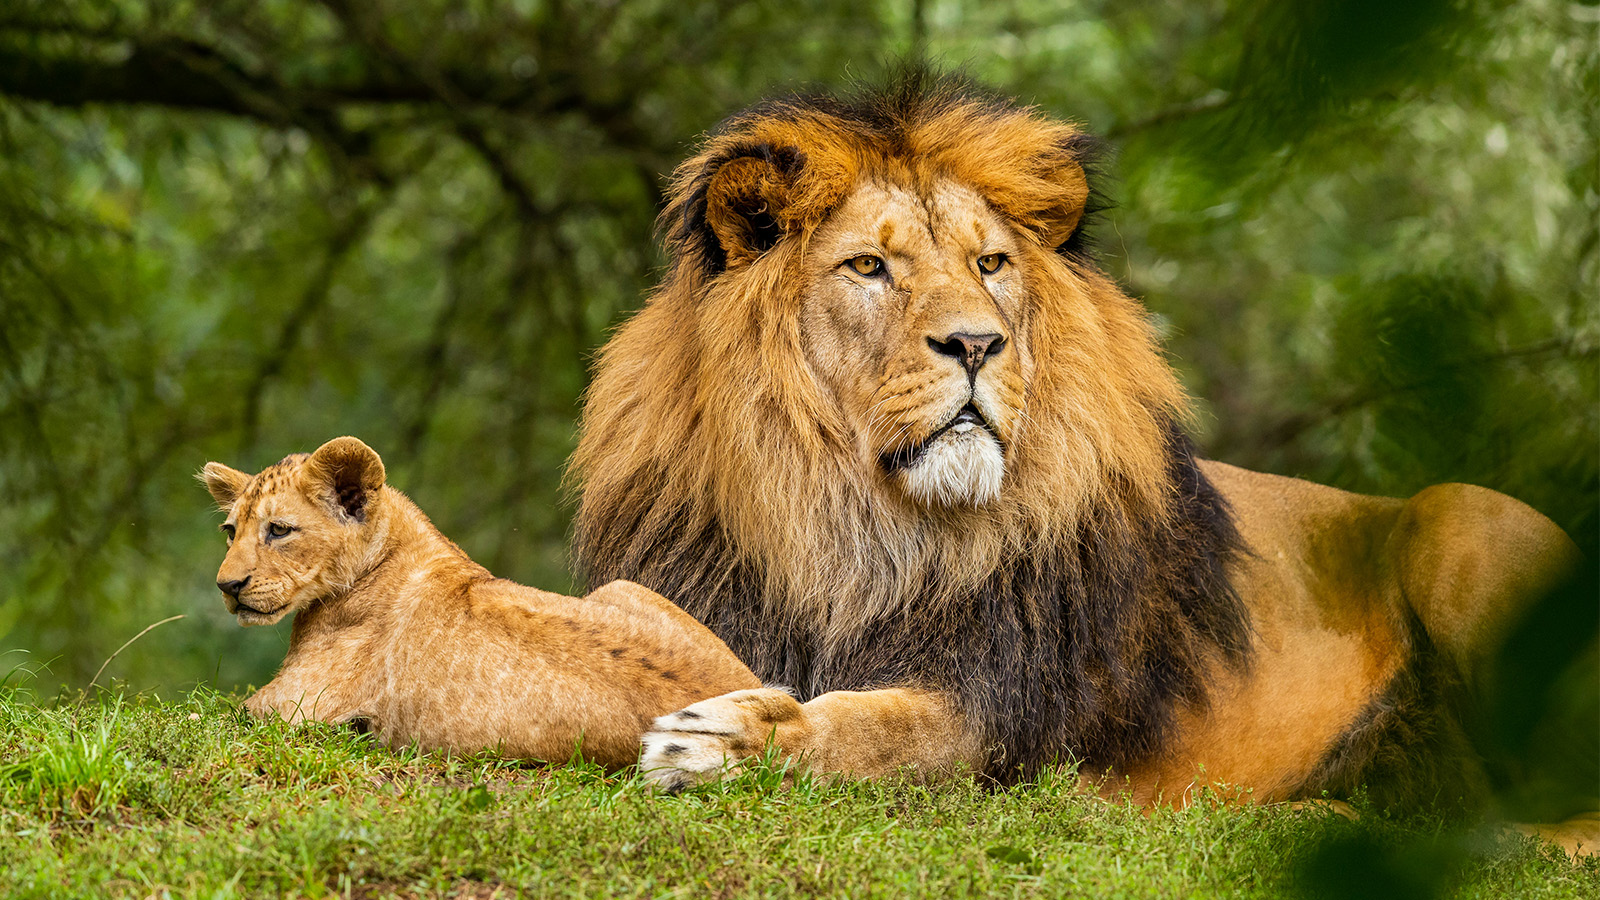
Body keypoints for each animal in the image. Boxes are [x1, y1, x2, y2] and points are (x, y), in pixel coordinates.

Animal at [200, 436, 760, 765]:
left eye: (279, 530)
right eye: (230, 532)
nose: (227, 586)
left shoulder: (288, 707)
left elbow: (209, 716)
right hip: (620, 587)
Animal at [568, 73, 1596, 853]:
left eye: (990, 265)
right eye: (868, 268)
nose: (977, 344)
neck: (855, 525)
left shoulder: (999, 713)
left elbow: (874, 728)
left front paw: (726, 739)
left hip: (1460, 519)